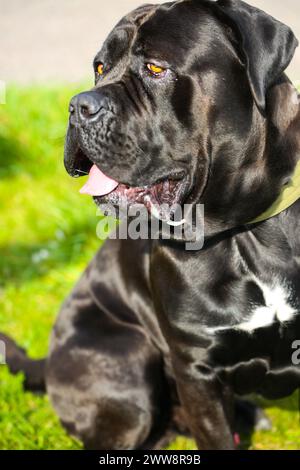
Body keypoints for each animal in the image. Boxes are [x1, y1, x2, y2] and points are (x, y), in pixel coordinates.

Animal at [2, 0, 300, 448]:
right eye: (100, 67)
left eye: (156, 68)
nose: (77, 106)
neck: (243, 228)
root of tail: (48, 360)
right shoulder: (197, 372)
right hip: (129, 360)